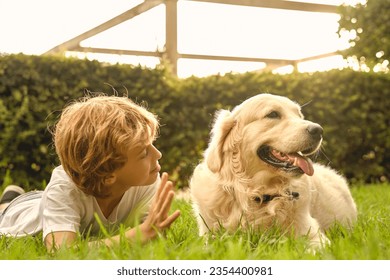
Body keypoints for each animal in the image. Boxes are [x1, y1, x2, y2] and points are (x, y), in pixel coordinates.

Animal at [190, 93, 358, 246]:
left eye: (299, 115)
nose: (318, 130)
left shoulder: (312, 233)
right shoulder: (208, 235)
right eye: (272, 114)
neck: (256, 194)